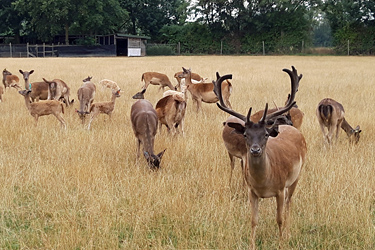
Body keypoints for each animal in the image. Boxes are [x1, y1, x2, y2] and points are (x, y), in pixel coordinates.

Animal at [214, 66, 308, 248]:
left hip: (297, 176)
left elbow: (279, 219)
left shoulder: (280, 189)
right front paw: (251, 245)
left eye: (265, 134)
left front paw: (281, 243)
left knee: (289, 204)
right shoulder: (253, 192)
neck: (264, 181)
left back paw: (287, 233)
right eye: (245, 134)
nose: (255, 150)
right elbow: (253, 220)